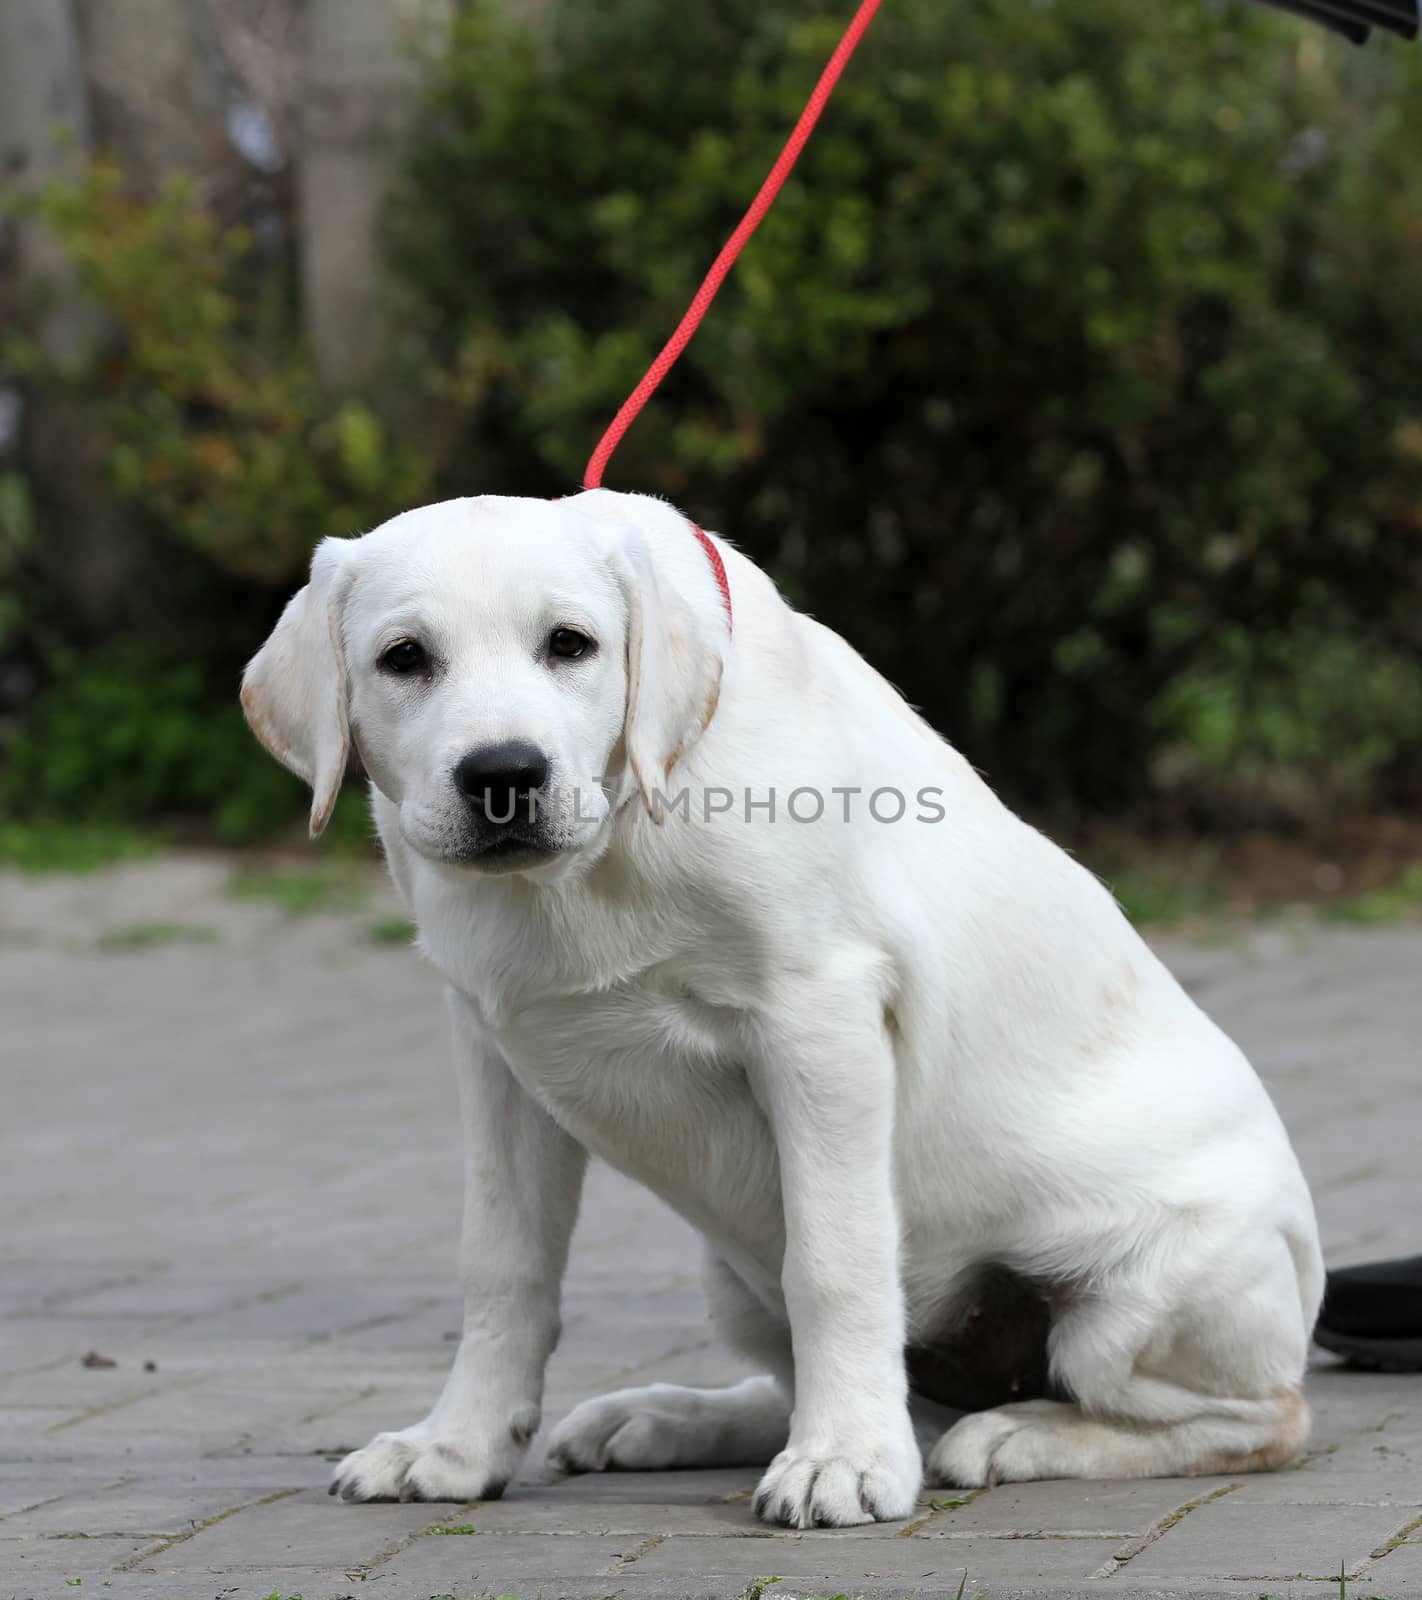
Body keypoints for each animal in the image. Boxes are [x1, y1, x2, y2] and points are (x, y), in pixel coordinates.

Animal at [241, 486, 1318, 1523]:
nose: (503, 773)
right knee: (836, 1385)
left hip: (1144, 1293)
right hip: (734, 1279)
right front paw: (457, 1447)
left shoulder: (817, 1019)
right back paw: (670, 1416)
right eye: (404, 658)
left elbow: (835, 1263)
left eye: (570, 644)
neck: (609, 844)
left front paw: (843, 1462)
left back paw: (1014, 1433)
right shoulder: (493, 1047)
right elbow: (502, 1263)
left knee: (1258, 1421)